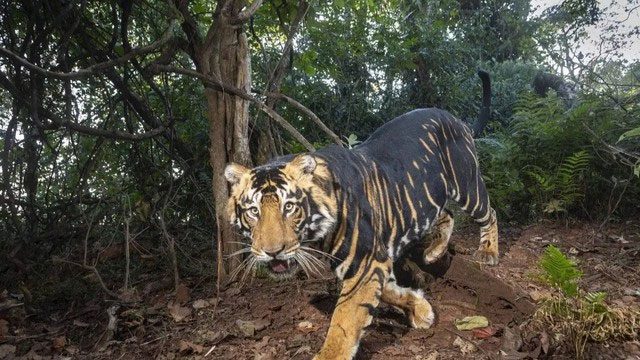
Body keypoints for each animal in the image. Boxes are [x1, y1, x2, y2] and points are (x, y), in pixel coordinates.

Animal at [225, 71, 500, 360]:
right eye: (253, 211)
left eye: (289, 207)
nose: (273, 252)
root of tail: (455, 119)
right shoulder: (371, 262)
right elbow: (389, 291)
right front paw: (420, 308)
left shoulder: (365, 263)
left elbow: (344, 321)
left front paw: (329, 354)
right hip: (427, 196)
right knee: (446, 213)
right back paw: (434, 252)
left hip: (467, 184)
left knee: (489, 212)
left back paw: (488, 252)